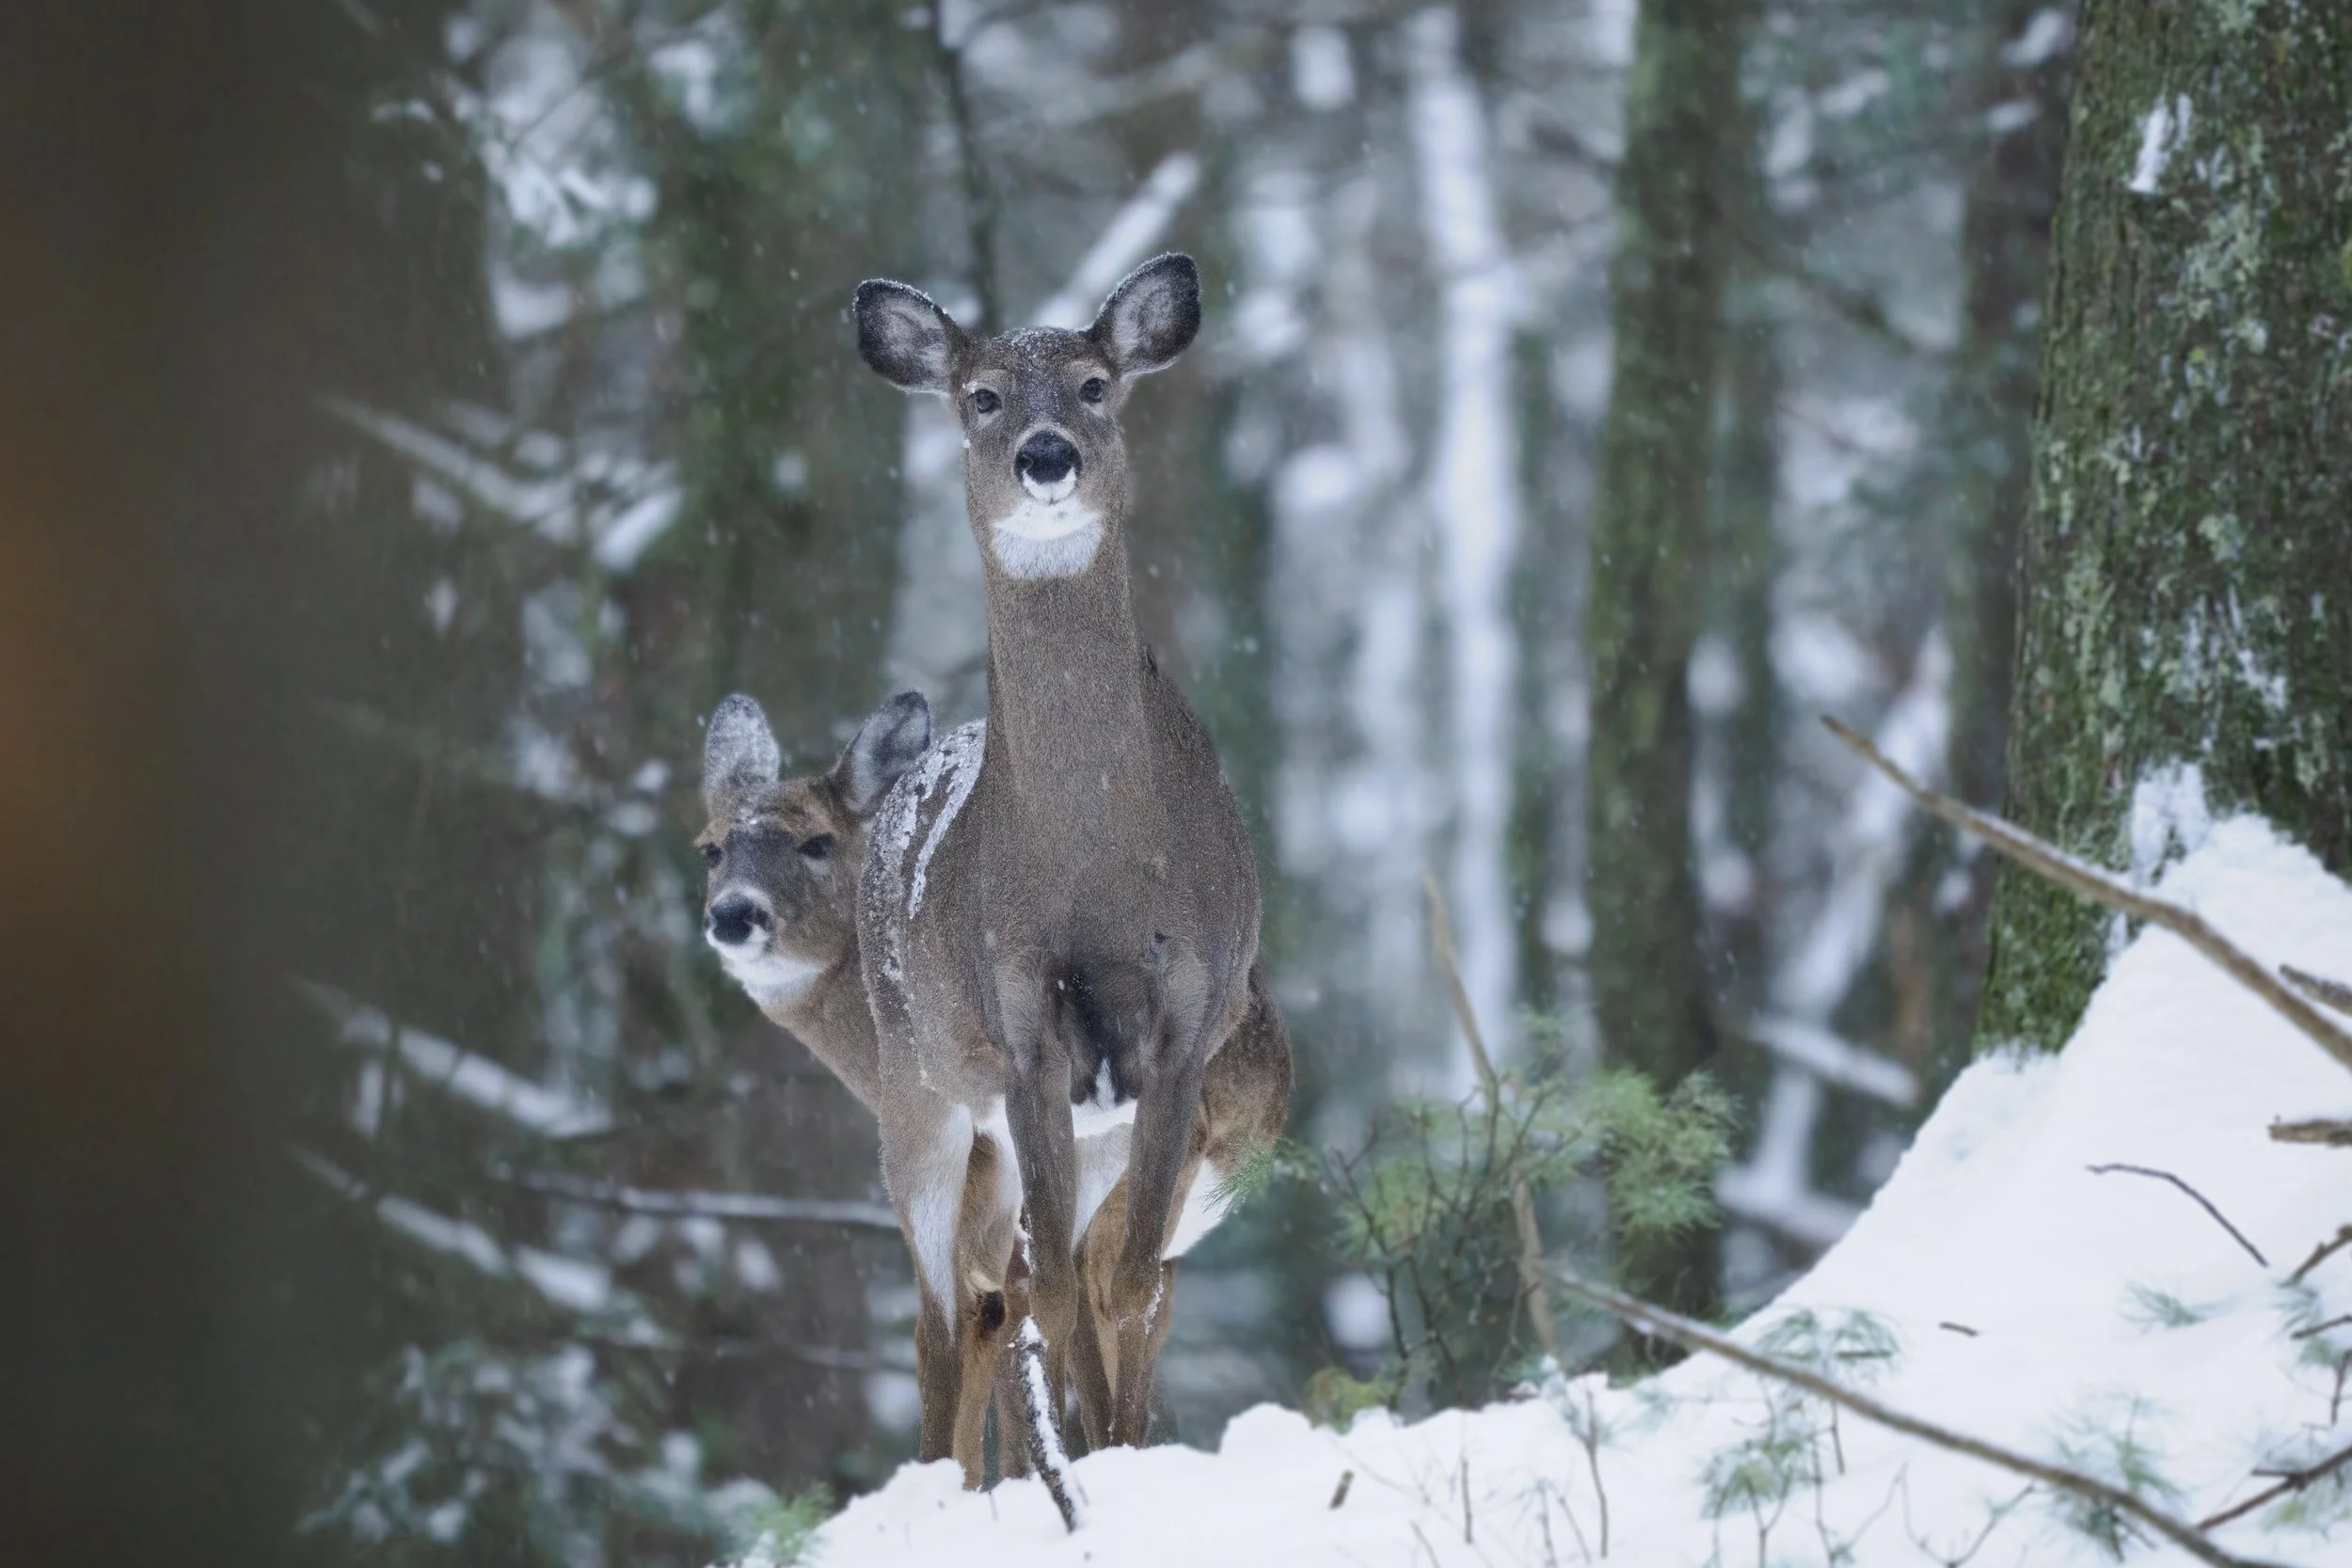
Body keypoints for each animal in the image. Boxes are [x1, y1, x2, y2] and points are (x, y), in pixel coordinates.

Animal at [851, 251, 1265, 1450]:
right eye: (981, 395)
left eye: (1093, 384)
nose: (1046, 454)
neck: (1099, 872)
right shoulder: (1024, 1020)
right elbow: (1054, 1294)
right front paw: (1091, 1460)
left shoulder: (1189, 1020)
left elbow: (1120, 1286)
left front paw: (1122, 1455)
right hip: (917, 1088)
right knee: (947, 1312)